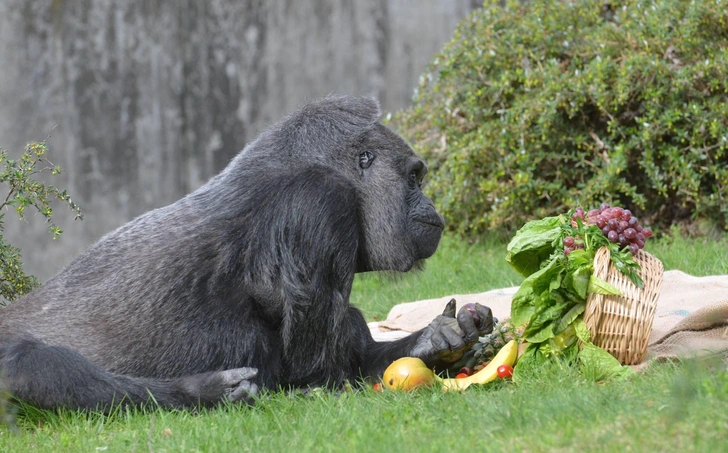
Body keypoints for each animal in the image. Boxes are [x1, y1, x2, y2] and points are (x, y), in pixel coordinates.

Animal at [0, 96, 492, 410]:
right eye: (414, 178)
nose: (432, 209)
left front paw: (440, 340)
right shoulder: (318, 204)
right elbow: (316, 367)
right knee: (31, 366)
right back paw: (200, 392)